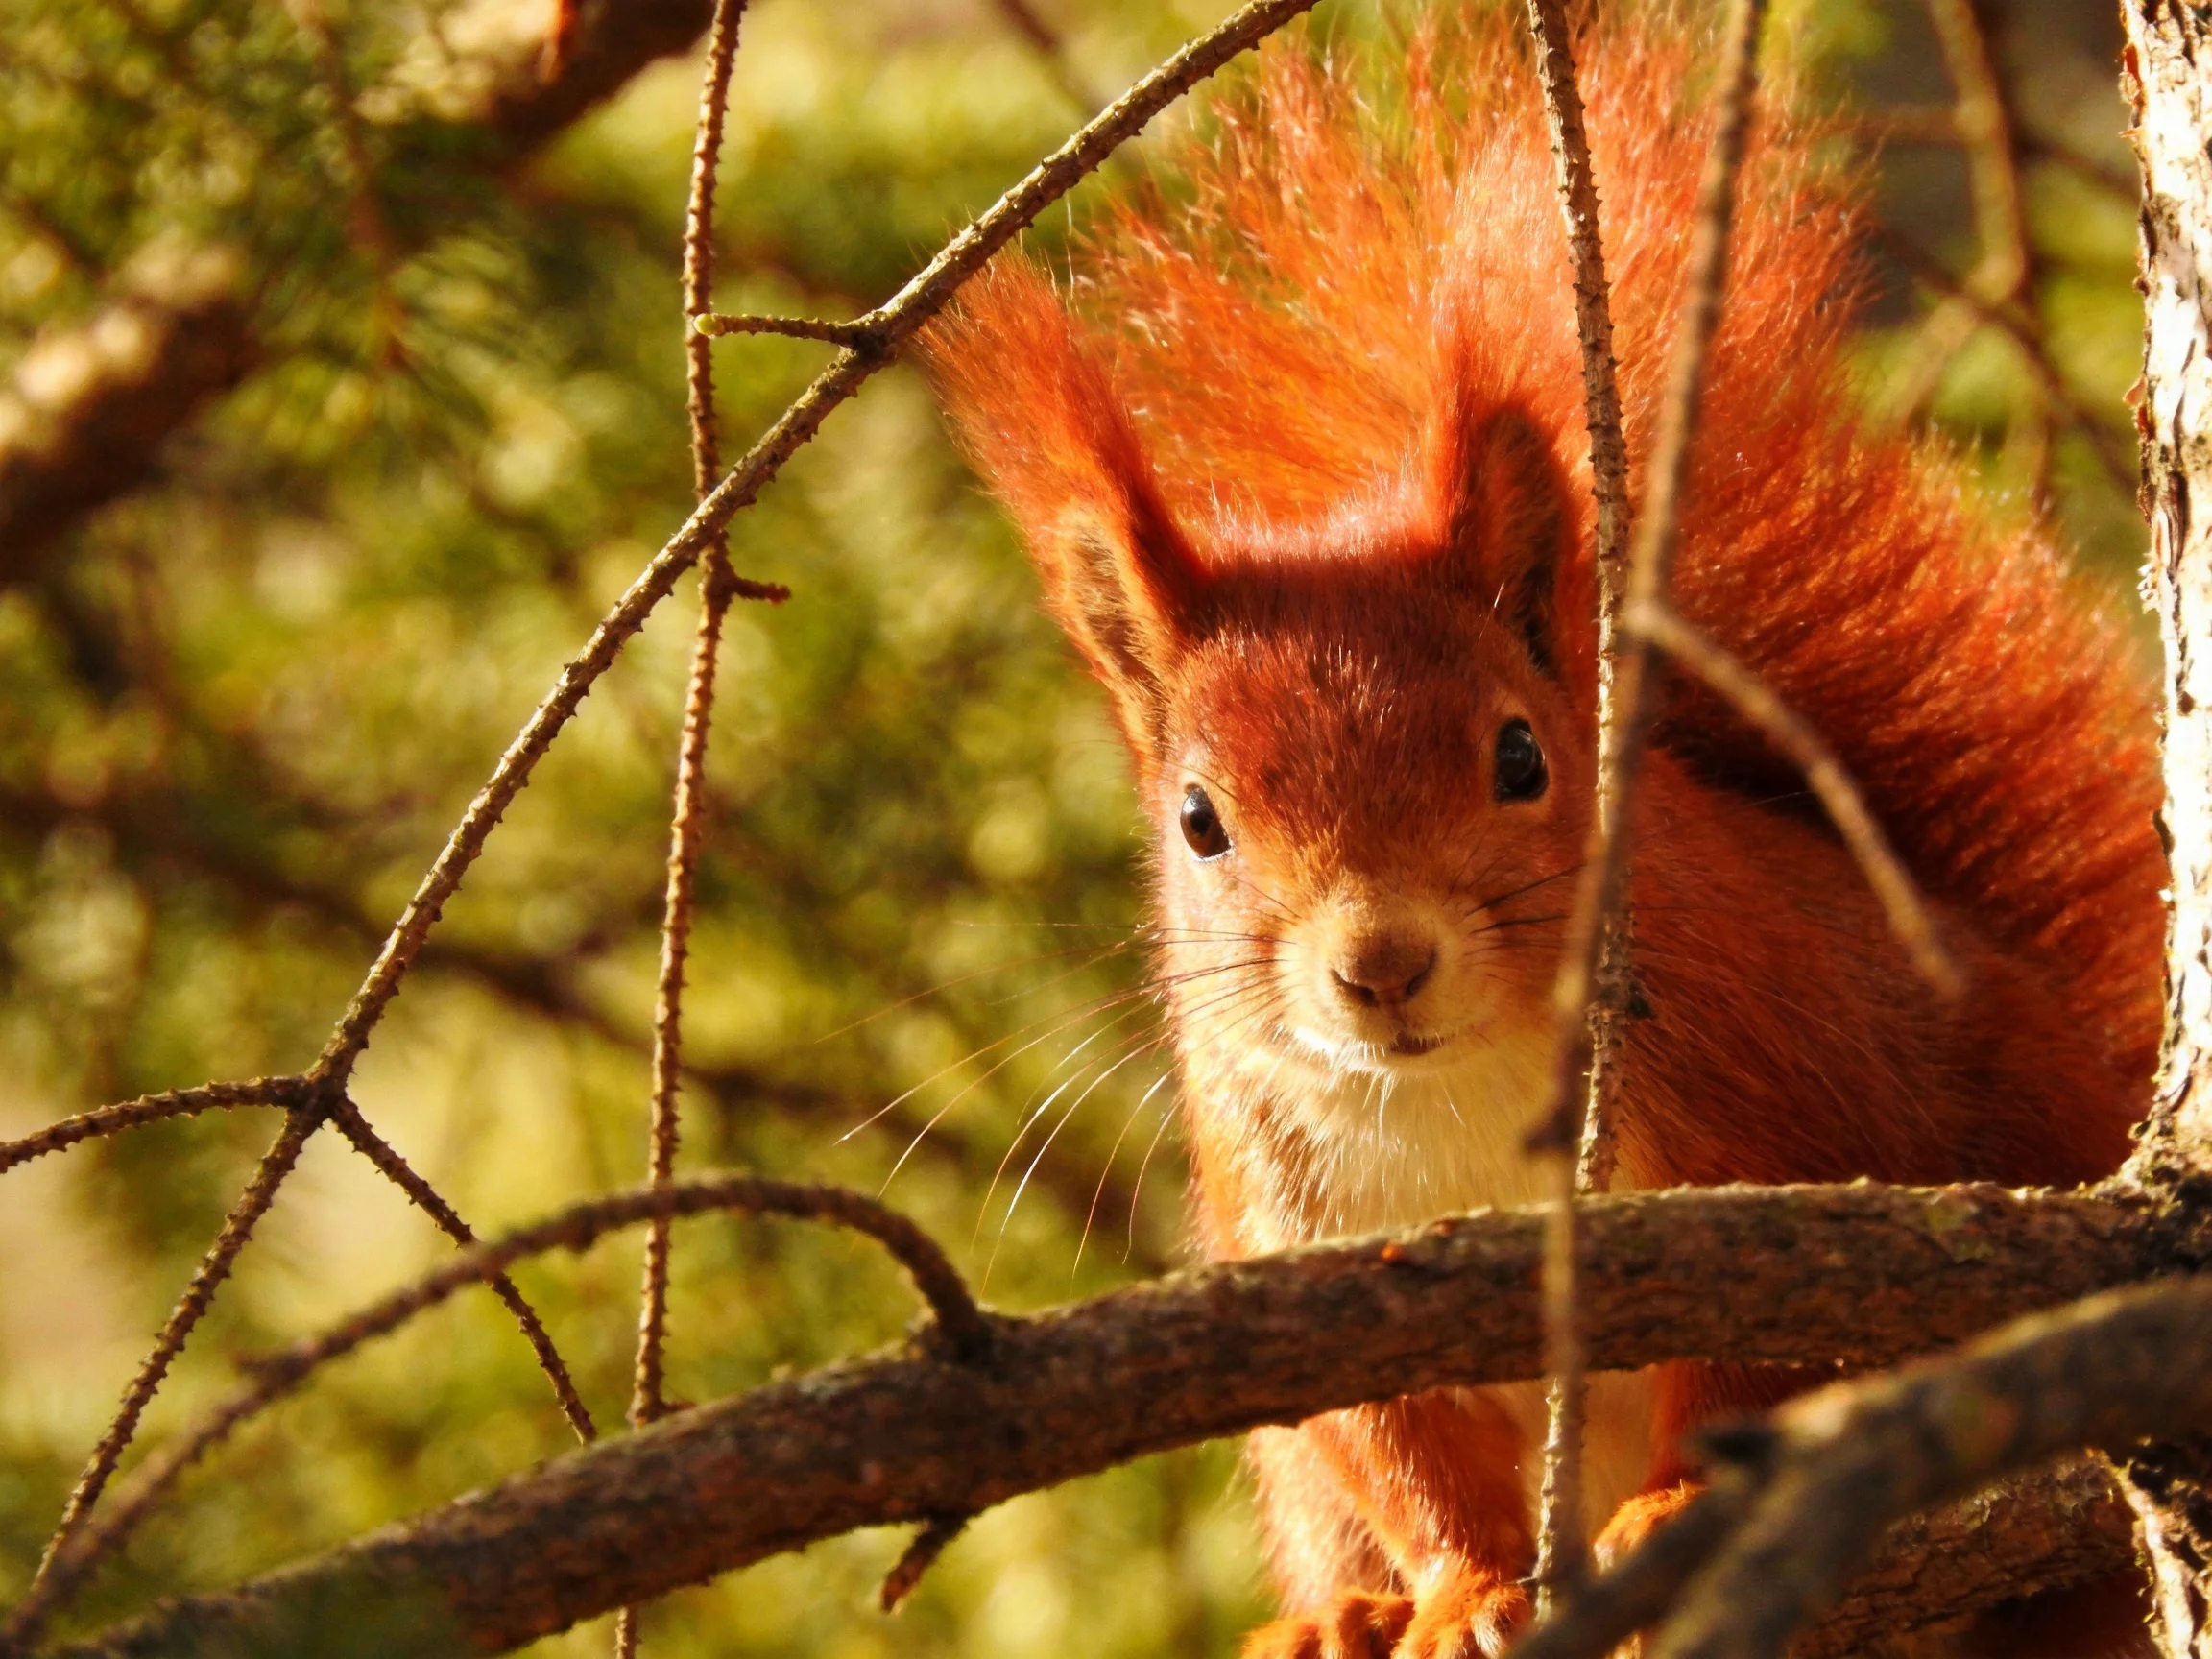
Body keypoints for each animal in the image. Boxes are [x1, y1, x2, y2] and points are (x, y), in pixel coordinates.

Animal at [921, 11, 2164, 1659]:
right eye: (1197, 821)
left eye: (1522, 756)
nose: (1381, 964)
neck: (1448, 1091)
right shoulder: (1302, 1246)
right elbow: (1398, 1446)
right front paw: (1459, 1591)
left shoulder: (1788, 1116)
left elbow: (1767, 1357)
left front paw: (1676, 1508)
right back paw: (1339, 1616)